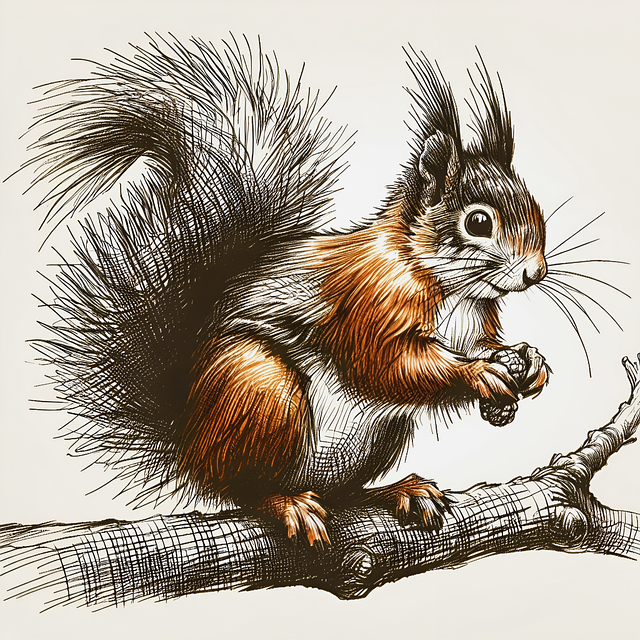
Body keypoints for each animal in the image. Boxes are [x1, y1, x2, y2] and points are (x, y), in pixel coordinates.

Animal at [25, 36, 550, 546]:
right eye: (478, 222)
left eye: (535, 207)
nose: (534, 273)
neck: (448, 285)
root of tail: (192, 439)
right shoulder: (369, 304)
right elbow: (387, 366)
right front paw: (479, 374)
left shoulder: (476, 321)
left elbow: (486, 345)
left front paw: (528, 363)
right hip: (262, 390)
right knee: (243, 488)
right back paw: (287, 503)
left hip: (376, 437)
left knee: (342, 492)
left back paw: (398, 491)